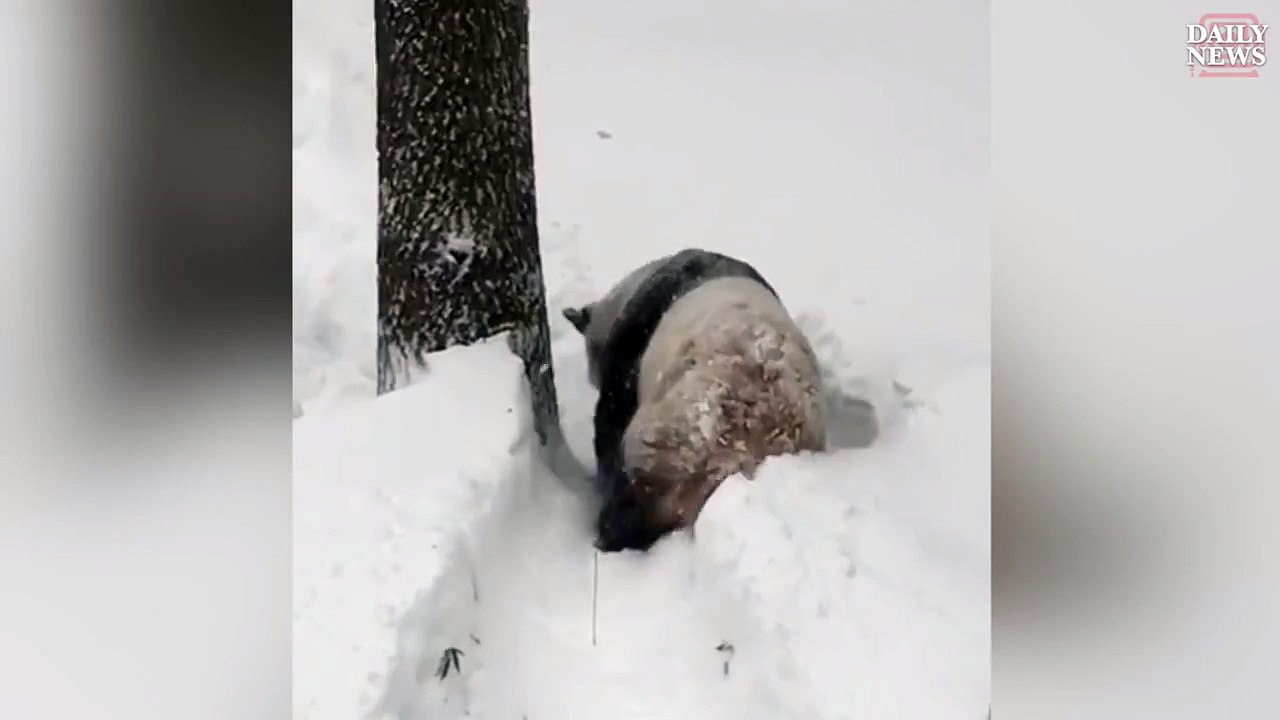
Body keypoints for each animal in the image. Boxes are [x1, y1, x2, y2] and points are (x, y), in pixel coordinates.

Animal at [562, 248, 827, 552]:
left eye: (591, 355)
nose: (590, 376)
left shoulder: (632, 344)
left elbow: (609, 422)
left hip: (670, 439)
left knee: (630, 494)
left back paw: (610, 532)